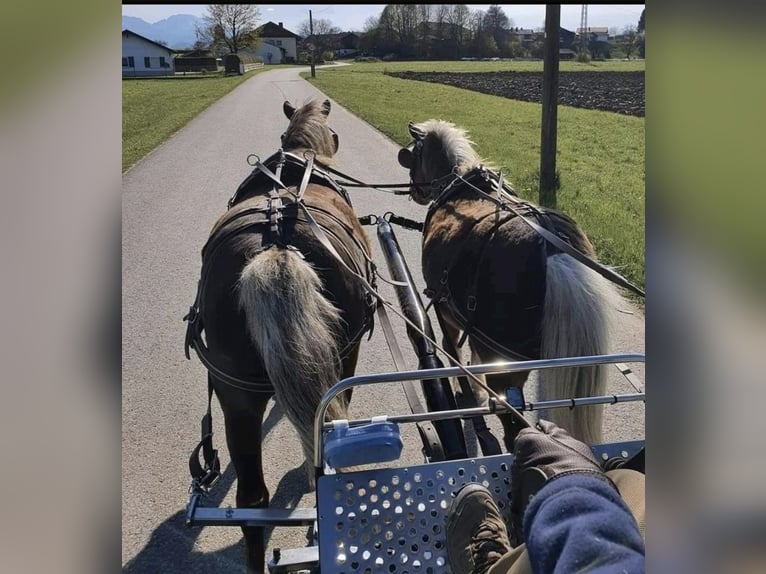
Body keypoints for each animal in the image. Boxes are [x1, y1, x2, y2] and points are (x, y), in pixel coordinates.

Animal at [396, 121, 616, 452]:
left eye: (413, 157)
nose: (414, 192)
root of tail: (553, 251)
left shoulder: (448, 312)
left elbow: (452, 348)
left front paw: (468, 389)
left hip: (506, 362)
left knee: (512, 423)